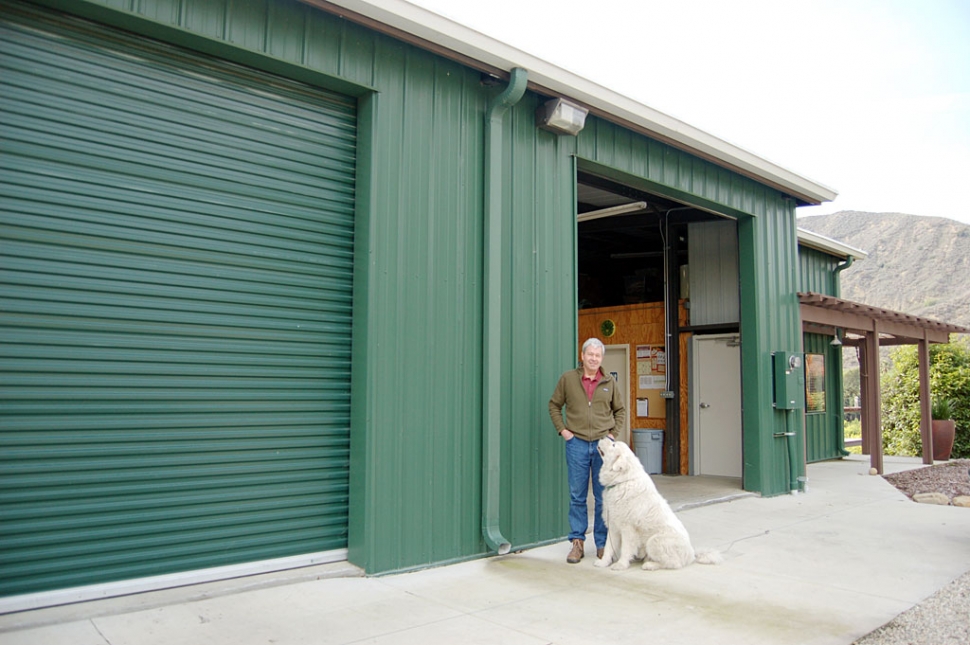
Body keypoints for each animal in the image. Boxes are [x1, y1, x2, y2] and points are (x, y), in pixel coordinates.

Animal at [588, 438, 720, 568]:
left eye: (613, 445)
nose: (602, 437)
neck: (622, 481)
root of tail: (692, 554)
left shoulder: (628, 529)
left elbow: (625, 549)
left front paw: (621, 565)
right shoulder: (613, 526)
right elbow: (608, 548)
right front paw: (603, 562)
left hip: (654, 541)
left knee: (673, 563)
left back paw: (649, 565)